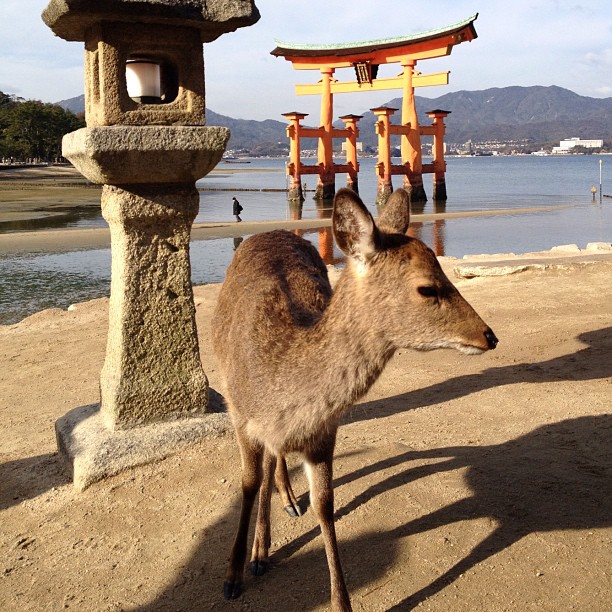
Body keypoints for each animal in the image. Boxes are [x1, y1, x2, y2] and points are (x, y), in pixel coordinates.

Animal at [210, 189, 498, 608]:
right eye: (427, 287)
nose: (489, 335)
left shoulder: (324, 432)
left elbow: (324, 504)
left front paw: (341, 601)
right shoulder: (239, 414)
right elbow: (247, 484)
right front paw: (233, 576)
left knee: (276, 461)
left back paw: (285, 507)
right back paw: (261, 548)